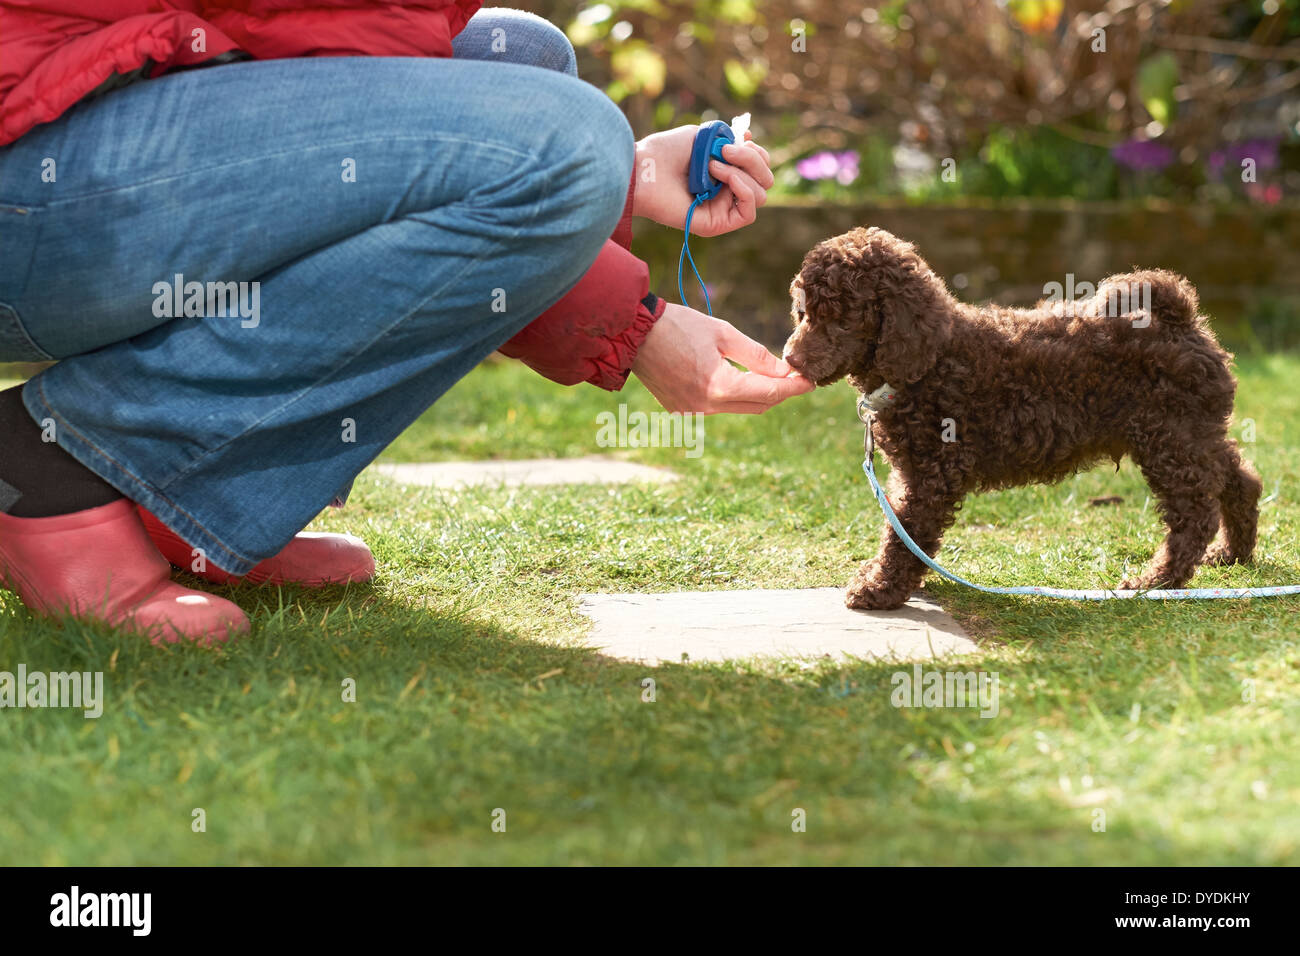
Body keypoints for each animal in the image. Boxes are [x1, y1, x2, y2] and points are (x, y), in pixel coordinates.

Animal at [780, 227, 1258, 608]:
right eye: (803, 313)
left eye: (840, 317)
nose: (790, 359)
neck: (931, 361)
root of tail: (1180, 318)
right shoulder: (913, 472)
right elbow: (903, 531)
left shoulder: (932, 473)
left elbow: (905, 533)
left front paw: (880, 589)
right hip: (1194, 433)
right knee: (1239, 478)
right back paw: (1232, 553)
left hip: (1170, 438)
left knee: (1194, 513)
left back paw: (1156, 581)